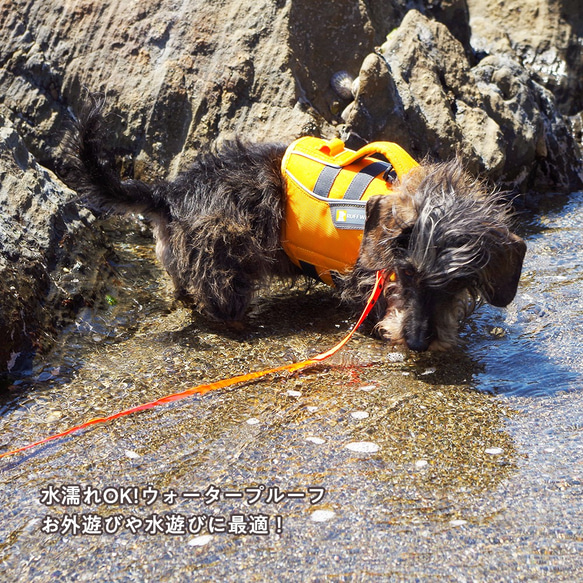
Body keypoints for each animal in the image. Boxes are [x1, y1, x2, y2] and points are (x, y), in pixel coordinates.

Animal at [61, 100, 528, 352]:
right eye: (406, 274)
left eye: (454, 283)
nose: (415, 342)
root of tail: (171, 194)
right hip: (228, 259)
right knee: (220, 302)